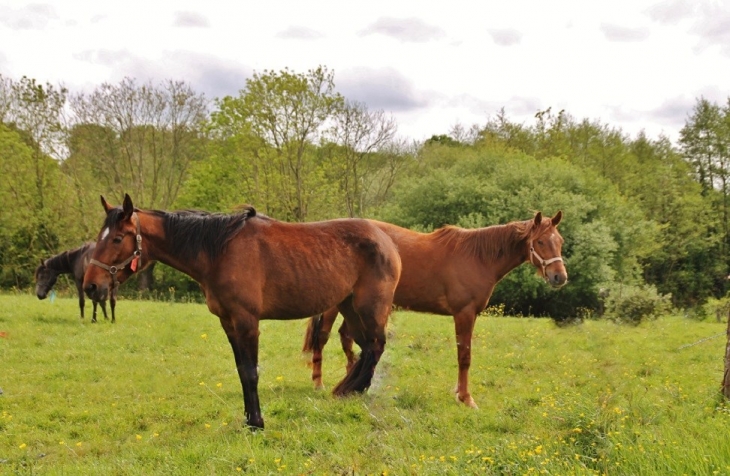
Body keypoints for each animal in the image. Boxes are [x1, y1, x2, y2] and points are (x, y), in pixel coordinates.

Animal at [83, 195, 400, 430]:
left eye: (118, 238)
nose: (91, 286)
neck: (219, 251)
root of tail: (386, 240)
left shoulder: (247, 321)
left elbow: (250, 372)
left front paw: (257, 422)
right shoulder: (229, 323)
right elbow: (240, 370)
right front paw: (248, 419)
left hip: (369, 308)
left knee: (375, 347)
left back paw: (353, 390)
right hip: (350, 308)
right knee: (367, 349)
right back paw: (347, 390)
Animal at [302, 214, 568, 408]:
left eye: (560, 241)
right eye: (540, 241)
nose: (560, 277)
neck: (479, 258)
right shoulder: (464, 314)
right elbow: (464, 357)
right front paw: (466, 398)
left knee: (347, 337)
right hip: (336, 305)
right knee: (323, 337)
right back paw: (319, 383)